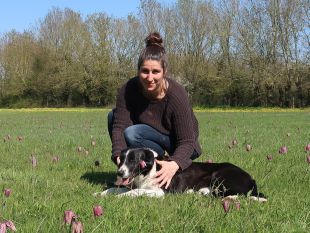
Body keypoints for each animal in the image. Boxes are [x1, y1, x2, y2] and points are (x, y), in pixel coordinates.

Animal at [94, 147, 266, 202]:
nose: (119, 172)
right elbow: (116, 188)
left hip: (218, 174)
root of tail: (251, 178)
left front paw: (120, 197)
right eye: (121, 160)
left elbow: (135, 191)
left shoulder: (160, 192)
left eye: (133, 160)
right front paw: (100, 193)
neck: (151, 168)